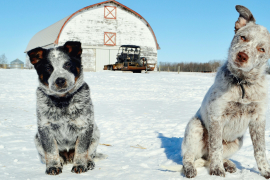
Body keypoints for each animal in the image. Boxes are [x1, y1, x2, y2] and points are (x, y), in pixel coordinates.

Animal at [180, 4, 270, 179]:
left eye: (261, 49)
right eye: (243, 37)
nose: (242, 56)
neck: (242, 84)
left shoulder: (258, 119)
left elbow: (260, 150)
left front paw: (265, 170)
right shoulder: (217, 116)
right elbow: (215, 147)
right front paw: (217, 171)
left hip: (238, 141)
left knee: (214, 156)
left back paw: (228, 164)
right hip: (195, 127)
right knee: (189, 156)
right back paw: (190, 169)